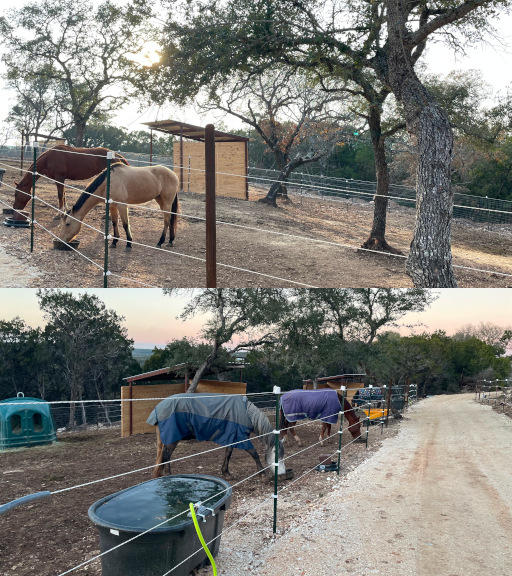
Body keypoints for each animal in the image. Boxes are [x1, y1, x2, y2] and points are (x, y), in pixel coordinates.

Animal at [146, 394, 286, 480]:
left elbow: (228, 454)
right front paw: (262, 472)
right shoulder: (241, 438)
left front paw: (226, 473)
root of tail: (158, 408)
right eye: (278, 455)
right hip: (173, 439)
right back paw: (169, 475)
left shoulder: (232, 438)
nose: (283, 473)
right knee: (166, 456)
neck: (247, 413)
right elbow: (254, 453)